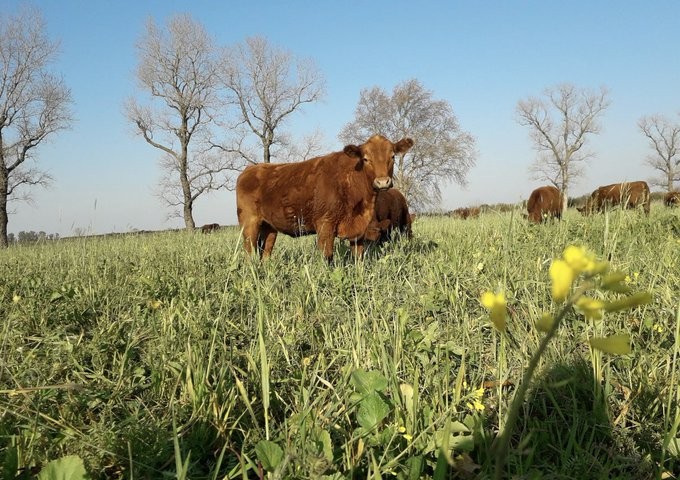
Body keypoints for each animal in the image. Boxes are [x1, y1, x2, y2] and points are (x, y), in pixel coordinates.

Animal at [234, 135, 414, 262]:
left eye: (392, 156)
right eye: (365, 158)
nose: (383, 181)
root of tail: (252, 169)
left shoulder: (359, 231)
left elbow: (358, 257)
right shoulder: (325, 225)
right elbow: (327, 258)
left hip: (270, 227)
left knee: (265, 253)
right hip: (249, 224)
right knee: (249, 253)